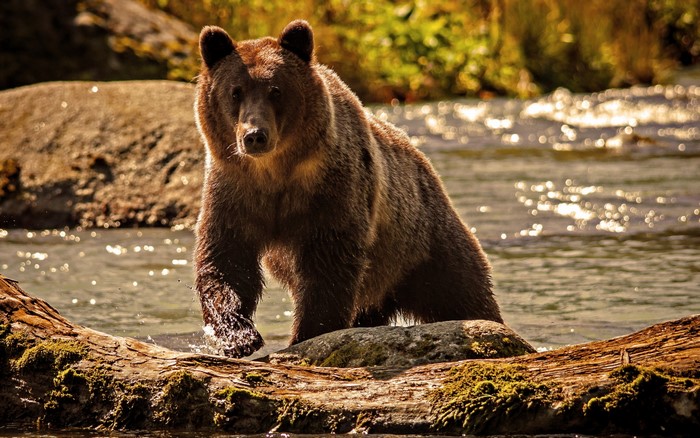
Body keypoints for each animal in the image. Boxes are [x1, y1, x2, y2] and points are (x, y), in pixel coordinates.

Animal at [193, 20, 503, 357]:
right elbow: (227, 259)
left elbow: (329, 266)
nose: (254, 136)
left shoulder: (332, 190)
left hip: (423, 242)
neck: (275, 173)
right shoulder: (234, 190)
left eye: (275, 90)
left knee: (462, 290)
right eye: (235, 92)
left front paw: (306, 334)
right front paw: (237, 336)